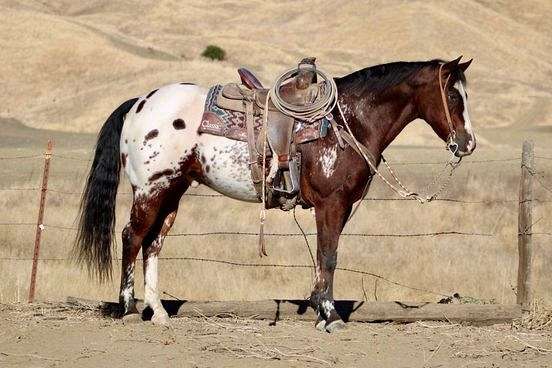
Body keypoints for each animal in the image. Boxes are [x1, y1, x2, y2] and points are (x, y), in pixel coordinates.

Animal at [75, 56, 476, 332]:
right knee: (132, 236)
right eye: (453, 95)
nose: (467, 143)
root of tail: (140, 102)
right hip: (151, 188)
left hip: (172, 191)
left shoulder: (337, 208)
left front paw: (320, 309)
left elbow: (323, 256)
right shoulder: (331, 204)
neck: (349, 121)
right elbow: (329, 256)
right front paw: (330, 315)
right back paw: (129, 309)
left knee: (154, 242)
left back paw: (157, 312)